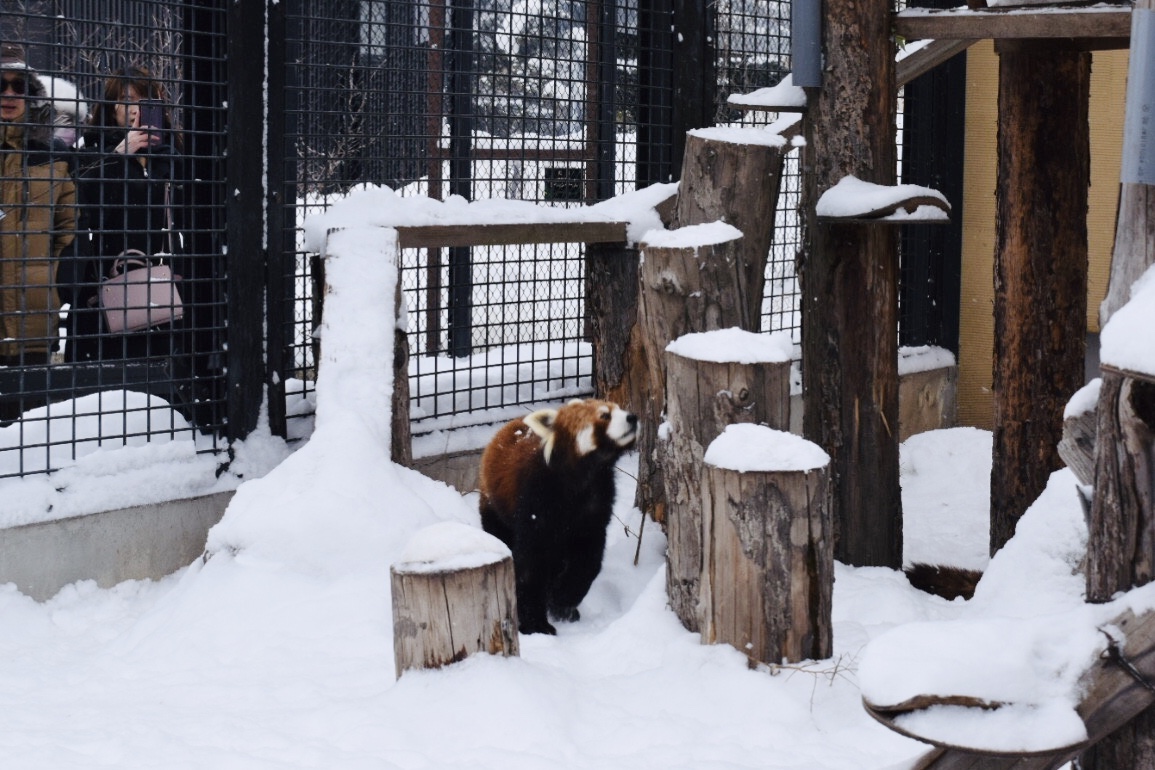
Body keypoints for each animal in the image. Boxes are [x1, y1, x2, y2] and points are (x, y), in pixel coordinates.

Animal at [478, 401, 642, 637]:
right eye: (605, 415)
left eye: (620, 409)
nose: (632, 418)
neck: (581, 477)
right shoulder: (535, 501)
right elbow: (530, 565)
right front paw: (535, 624)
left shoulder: (596, 506)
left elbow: (588, 561)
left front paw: (562, 601)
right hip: (494, 506)